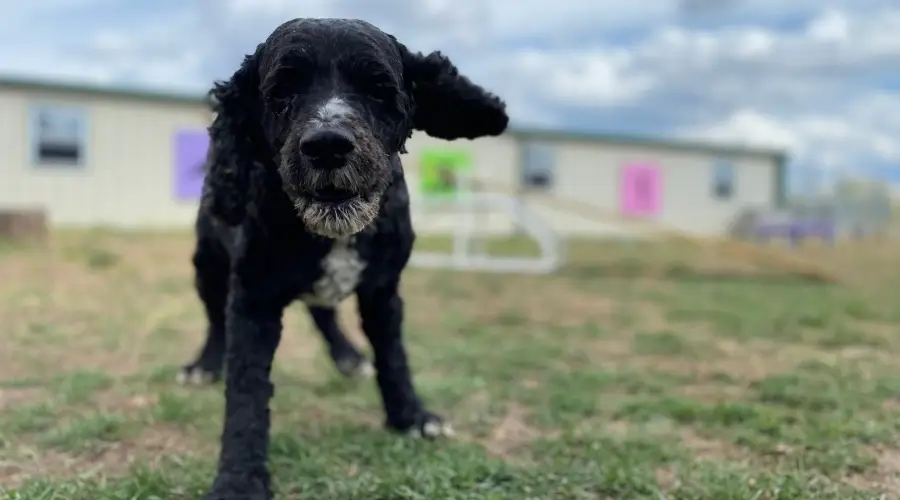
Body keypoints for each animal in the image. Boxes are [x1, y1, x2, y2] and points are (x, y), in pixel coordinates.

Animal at [179, 17, 510, 498]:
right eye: (282, 91)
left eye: (377, 89)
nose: (328, 145)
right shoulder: (253, 299)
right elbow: (246, 390)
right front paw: (239, 479)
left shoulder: (383, 290)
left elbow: (393, 357)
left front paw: (411, 417)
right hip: (207, 266)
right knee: (214, 321)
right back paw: (204, 366)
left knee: (323, 312)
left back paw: (348, 357)